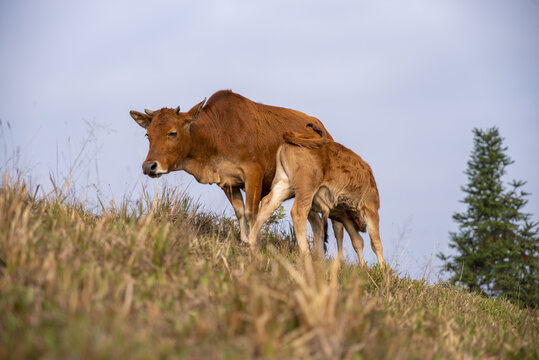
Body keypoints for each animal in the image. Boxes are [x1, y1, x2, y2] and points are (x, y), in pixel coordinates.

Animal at [129, 89, 344, 256]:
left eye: (172, 132)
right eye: (148, 134)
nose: (149, 166)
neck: (219, 133)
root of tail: (326, 132)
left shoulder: (253, 175)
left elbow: (251, 213)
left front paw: (253, 245)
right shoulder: (228, 182)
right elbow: (240, 213)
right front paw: (244, 241)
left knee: (337, 226)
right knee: (316, 223)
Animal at [247, 124, 386, 268]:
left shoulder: (344, 215)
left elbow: (357, 241)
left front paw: (363, 268)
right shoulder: (371, 209)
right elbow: (376, 243)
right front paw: (383, 270)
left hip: (284, 184)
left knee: (267, 204)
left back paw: (251, 245)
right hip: (306, 188)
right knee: (298, 212)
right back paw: (306, 256)